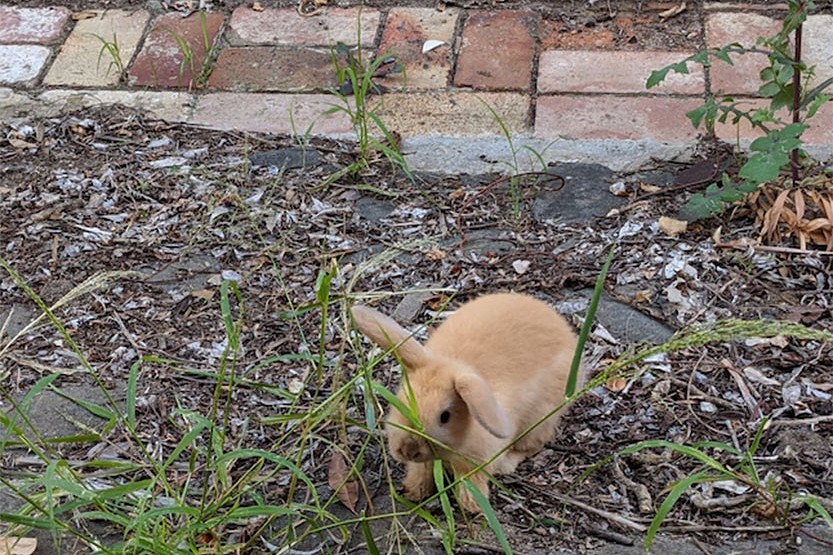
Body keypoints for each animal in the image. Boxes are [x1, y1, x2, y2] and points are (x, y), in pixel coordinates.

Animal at [351, 292, 580, 513]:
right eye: (402, 402)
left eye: (445, 416)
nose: (408, 450)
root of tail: (560, 324)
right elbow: (421, 470)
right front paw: (413, 491)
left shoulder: (476, 461)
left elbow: (470, 479)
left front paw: (473, 506)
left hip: (540, 417)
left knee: (534, 444)